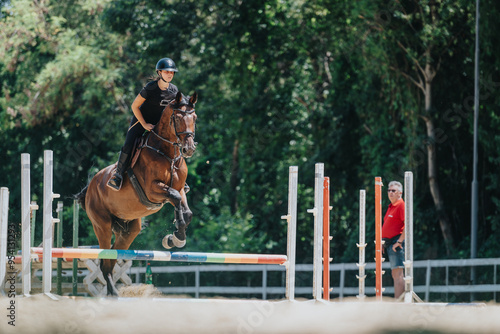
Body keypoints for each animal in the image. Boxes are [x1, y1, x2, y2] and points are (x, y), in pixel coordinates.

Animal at [75, 90, 198, 294]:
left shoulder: (181, 188)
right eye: (177, 118)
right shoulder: (152, 190)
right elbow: (174, 197)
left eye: (194, 117)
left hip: (129, 230)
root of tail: (91, 186)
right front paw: (176, 236)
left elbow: (186, 209)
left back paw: (113, 293)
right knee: (105, 261)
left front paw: (174, 238)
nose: (189, 149)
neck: (168, 154)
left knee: (112, 259)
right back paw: (114, 294)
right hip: (102, 225)